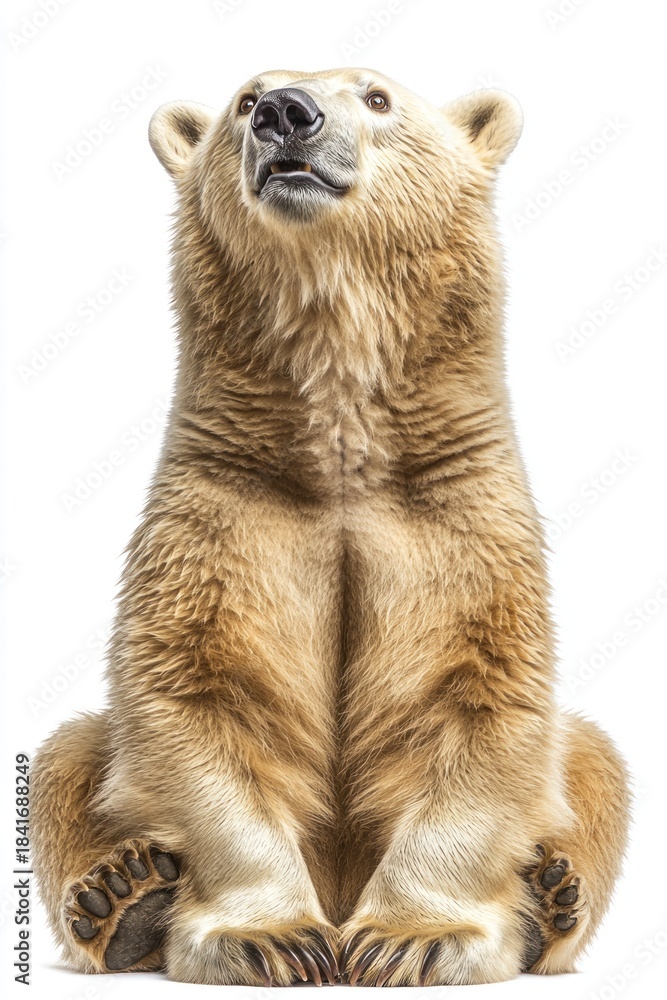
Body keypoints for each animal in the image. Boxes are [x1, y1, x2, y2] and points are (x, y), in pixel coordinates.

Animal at [32, 68, 630, 986]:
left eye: (378, 98)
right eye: (245, 99)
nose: (288, 112)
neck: (341, 443)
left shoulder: (453, 507)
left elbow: (485, 695)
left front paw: (412, 939)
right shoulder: (226, 502)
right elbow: (190, 690)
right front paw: (271, 938)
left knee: (595, 760)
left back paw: (550, 895)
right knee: (66, 757)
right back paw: (122, 896)